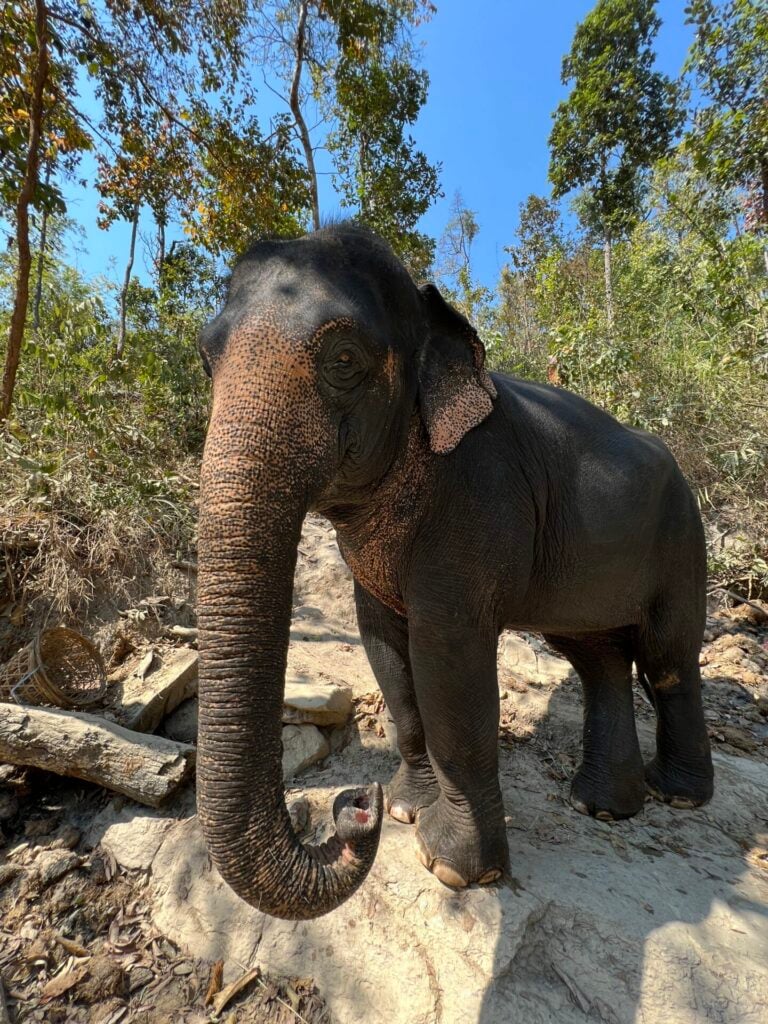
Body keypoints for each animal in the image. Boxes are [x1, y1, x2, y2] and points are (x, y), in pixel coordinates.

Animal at [196, 220, 716, 925]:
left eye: (343, 361)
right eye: (205, 360)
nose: (356, 804)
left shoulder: (478, 494)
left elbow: (447, 656)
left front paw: (452, 867)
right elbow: (385, 646)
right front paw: (405, 807)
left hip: (683, 538)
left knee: (667, 659)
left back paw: (679, 797)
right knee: (598, 659)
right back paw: (604, 807)